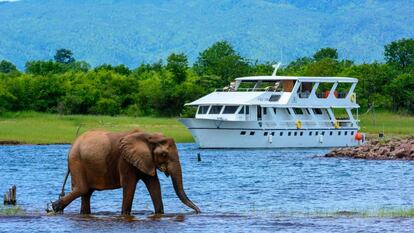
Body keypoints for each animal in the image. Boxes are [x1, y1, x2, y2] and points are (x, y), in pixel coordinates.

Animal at [51, 129, 200, 215]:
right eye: (164, 154)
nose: (198, 211)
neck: (149, 136)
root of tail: (71, 146)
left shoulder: (145, 160)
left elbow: (154, 185)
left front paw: (160, 214)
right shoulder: (125, 160)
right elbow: (129, 185)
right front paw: (124, 215)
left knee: (86, 193)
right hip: (77, 161)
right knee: (82, 189)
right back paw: (55, 207)